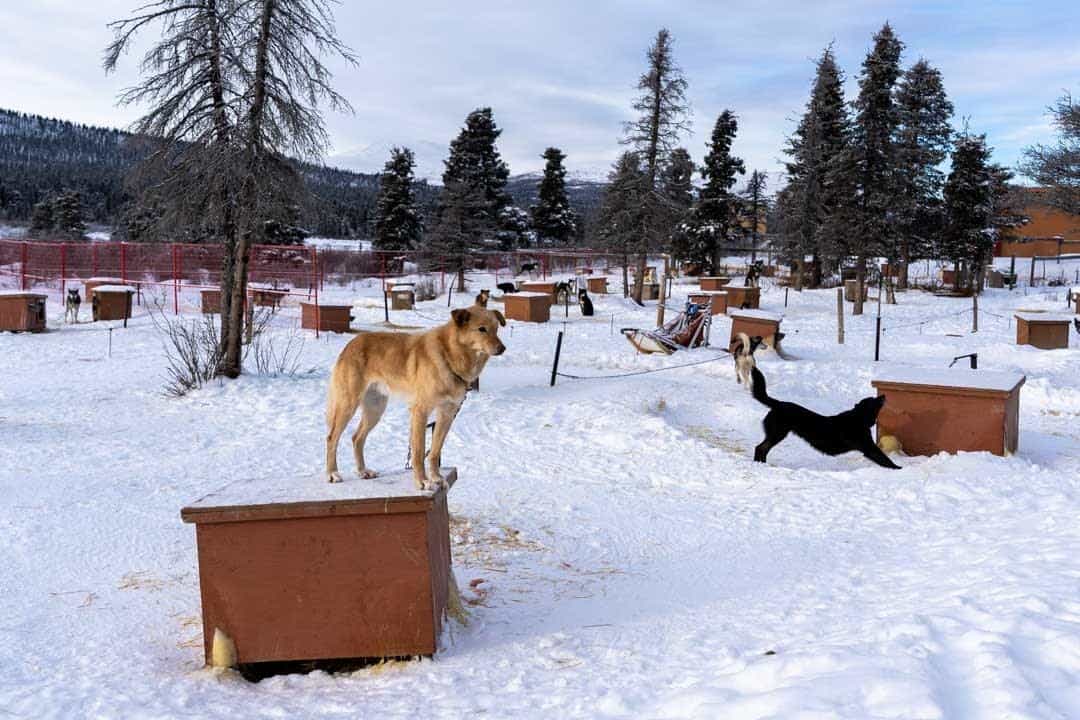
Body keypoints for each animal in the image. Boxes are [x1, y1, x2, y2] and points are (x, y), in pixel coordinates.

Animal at [324, 304, 505, 490]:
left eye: (496, 329)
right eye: (482, 329)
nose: (502, 348)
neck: (448, 354)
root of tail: (351, 343)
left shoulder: (446, 414)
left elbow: (434, 451)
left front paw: (436, 478)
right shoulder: (420, 412)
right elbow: (418, 452)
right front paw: (422, 481)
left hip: (375, 410)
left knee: (357, 438)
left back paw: (362, 471)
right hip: (348, 405)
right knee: (331, 438)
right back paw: (332, 473)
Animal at [747, 369, 898, 470]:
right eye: (873, 400)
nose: (883, 395)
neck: (859, 418)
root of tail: (778, 403)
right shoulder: (869, 447)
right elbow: (884, 459)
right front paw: (898, 469)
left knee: (762, 448)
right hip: (777, 433)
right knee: (760, 448)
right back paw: (760, 465)